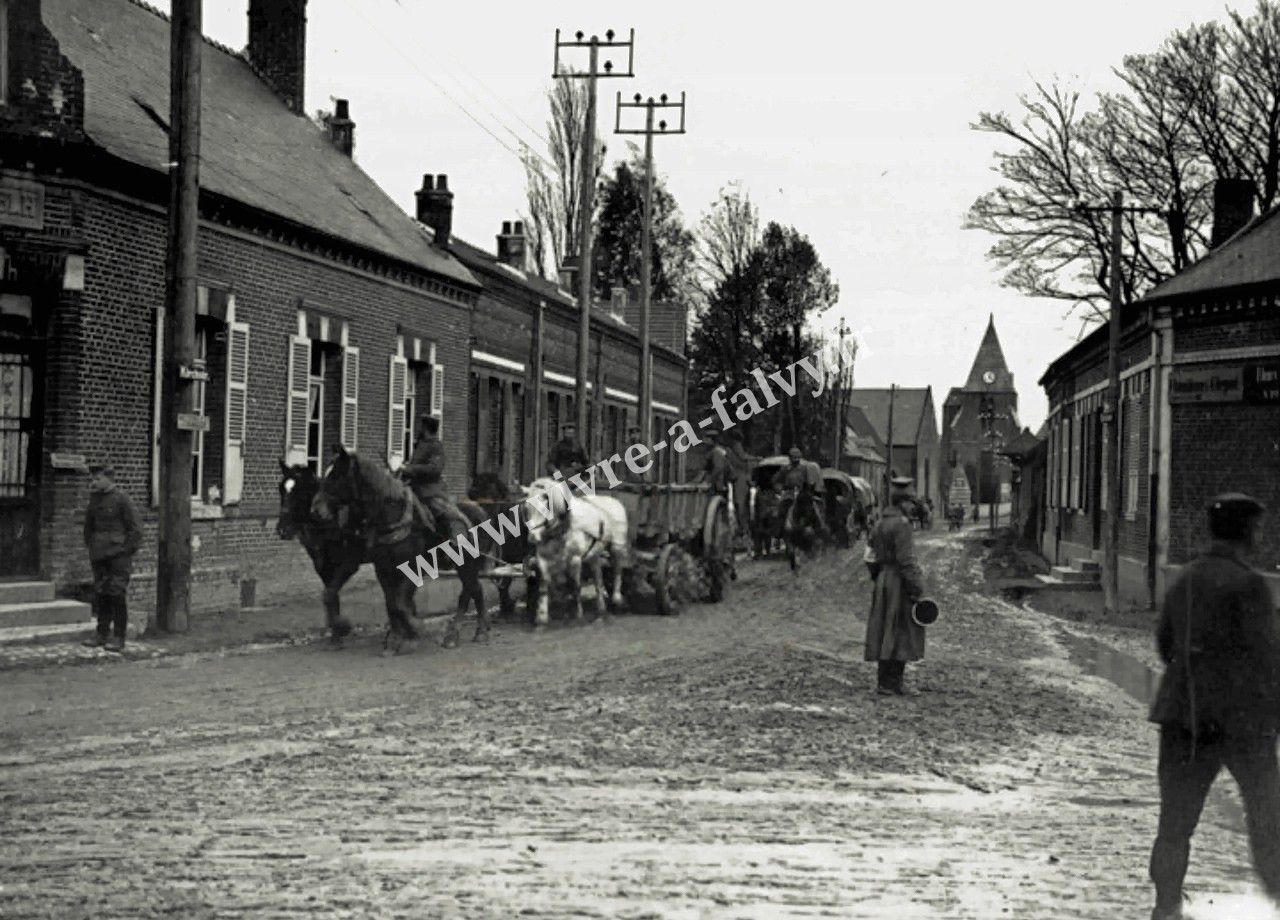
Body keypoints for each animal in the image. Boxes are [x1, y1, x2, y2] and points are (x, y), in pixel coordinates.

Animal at [519, 475, 629, 626]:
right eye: (526, 508)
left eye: (545, 508)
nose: (532, 537)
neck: (562, 527)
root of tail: (614, 501)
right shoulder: (543, 558)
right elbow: (545, 585)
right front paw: (542, 618)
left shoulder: (575, 559)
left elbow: (575, 585)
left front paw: (578, 615)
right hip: (594, 555)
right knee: (598, 580)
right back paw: (601, 610)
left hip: (617, 547)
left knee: (618, 570)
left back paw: (616, 599)